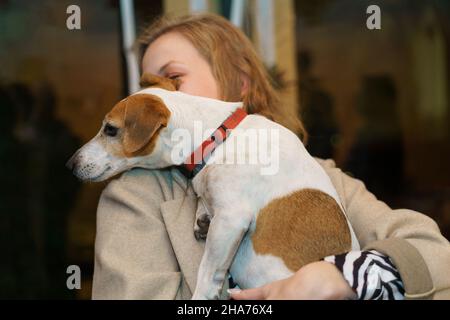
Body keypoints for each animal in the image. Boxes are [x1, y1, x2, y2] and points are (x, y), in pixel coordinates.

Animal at [67, 74, 360, 298]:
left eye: (110, 129)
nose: (69, 165)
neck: (215, 139)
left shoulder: (231, 219)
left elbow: (207, 273)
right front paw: (202, 213)